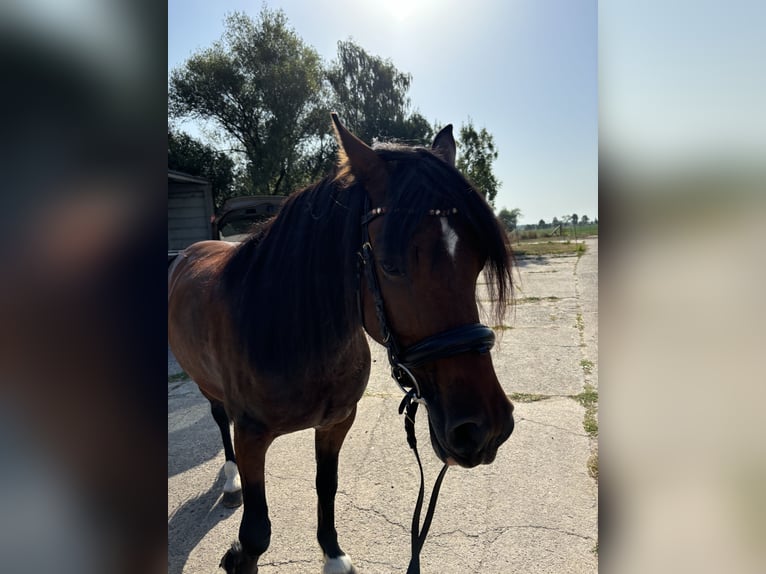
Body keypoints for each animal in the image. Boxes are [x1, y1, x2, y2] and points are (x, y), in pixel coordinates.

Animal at [168, 115, 516, 572]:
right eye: (389, 264)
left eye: (476, 263)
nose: (484, 429)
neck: (293, 336)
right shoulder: (251, 436)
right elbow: (256, 532)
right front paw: (238, 555)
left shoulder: (336, 423)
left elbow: (327, 487)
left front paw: (332, 554)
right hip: (208, 387)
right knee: (217, 417)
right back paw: (230, 481)